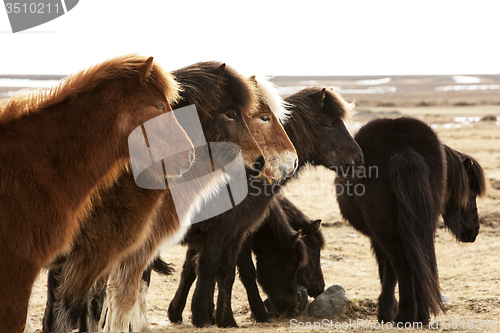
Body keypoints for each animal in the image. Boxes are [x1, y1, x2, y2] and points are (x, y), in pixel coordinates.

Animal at [336, 116, 484, 324]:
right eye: (471, 191)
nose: (474, 230)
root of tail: (403, 151)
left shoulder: (377, 238)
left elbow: (387, 271)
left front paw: (386, 311)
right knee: (420, 262)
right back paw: (421, 315)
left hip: (387, 230)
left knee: (401, 264)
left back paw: (404, 315)